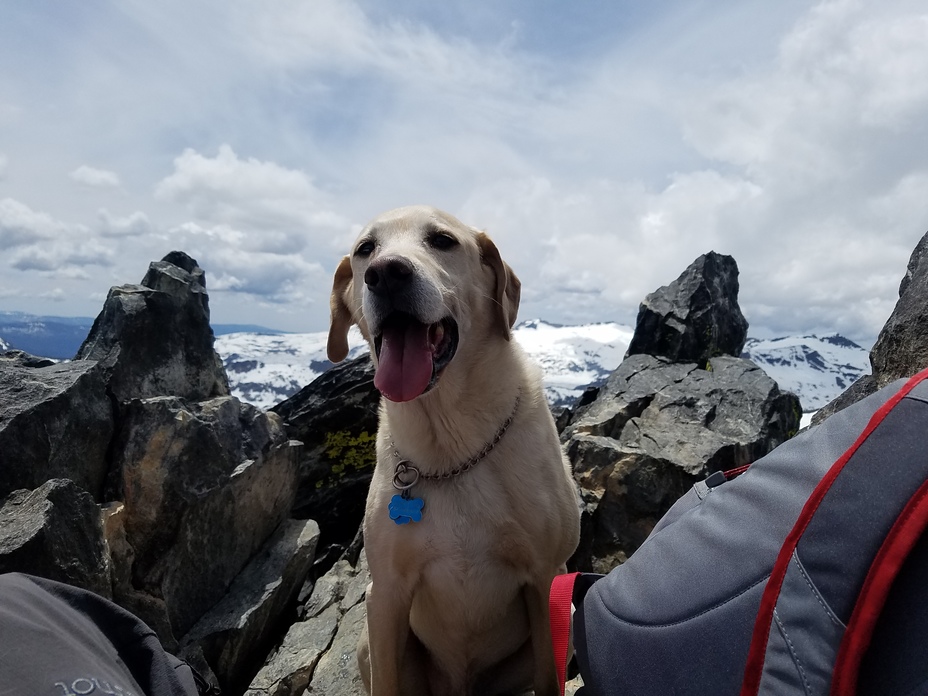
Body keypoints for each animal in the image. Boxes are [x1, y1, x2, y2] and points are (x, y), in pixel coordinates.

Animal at [326, 205, 580, 696]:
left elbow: (548, 677)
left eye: (442, 240)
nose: (386, 274)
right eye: (366, 249)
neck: (452, 447)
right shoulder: (385, 594)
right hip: (370, 639)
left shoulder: (546, 577)